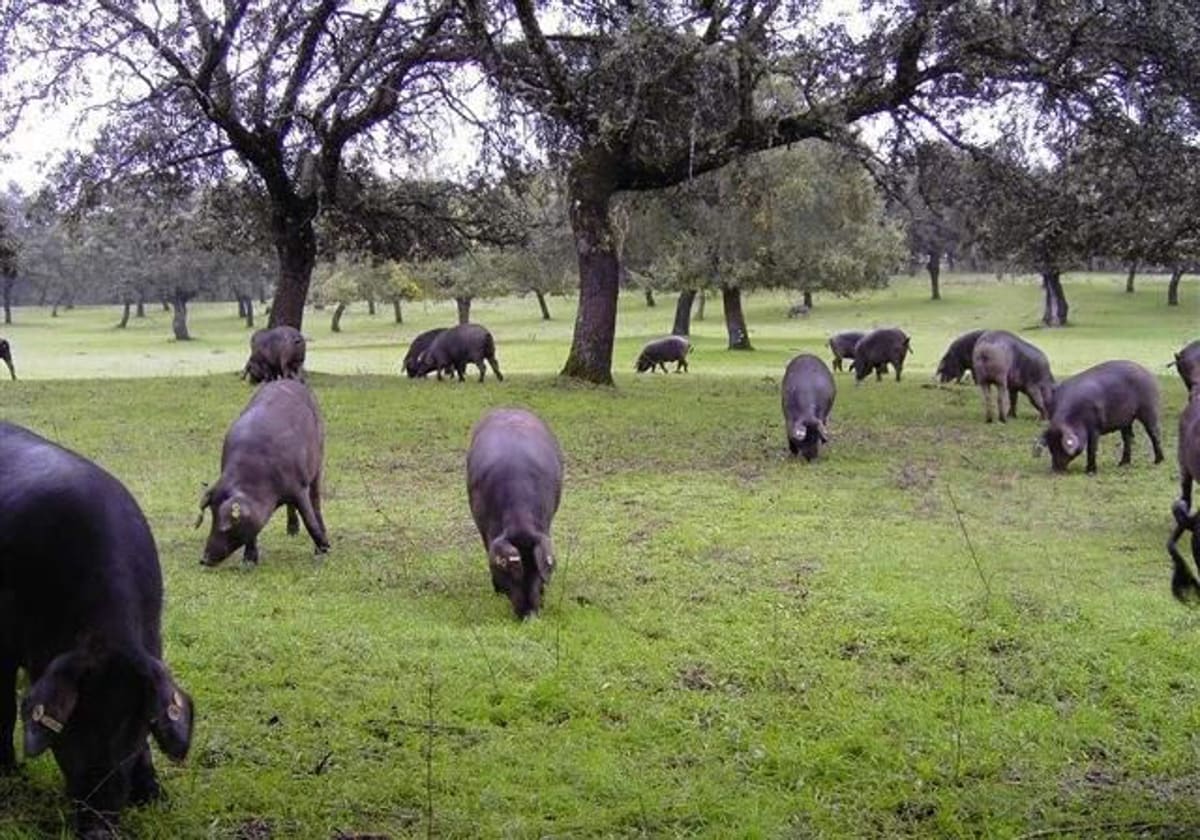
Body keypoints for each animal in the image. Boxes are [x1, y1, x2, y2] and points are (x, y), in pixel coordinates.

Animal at [0, 422, 192, 835]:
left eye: (136, 728)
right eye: (73, 725)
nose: (100, 829)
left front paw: (156, 797)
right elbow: (4, 707)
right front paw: (10, 775)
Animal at [196, 379, 328, 564]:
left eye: (226, 527)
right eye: (212, 517)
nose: (203, 559)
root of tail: (289, 380)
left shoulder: (298, 487)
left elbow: (309, 518)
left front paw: (324, 551)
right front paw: (248, 562)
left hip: (319, 460)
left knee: (315, 501)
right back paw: (291, 532)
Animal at [1036, 357, 1166, 472]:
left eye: (1061, 446)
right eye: (1051, 447)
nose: (1055, 469)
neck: (1074, 418)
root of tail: (1147, 372)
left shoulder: (1095, 427)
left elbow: (1092, 448)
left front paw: (1090, 472)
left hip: (1149, 409)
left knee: (1155, 434)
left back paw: (1158, 462)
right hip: (1126, 421)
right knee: (1127, 438)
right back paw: (1122, 464)